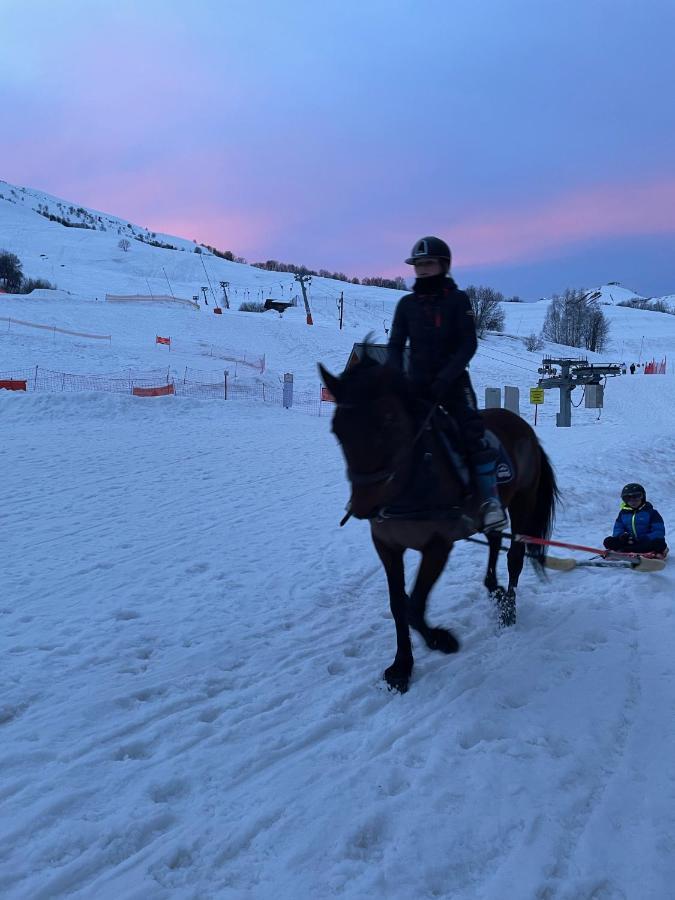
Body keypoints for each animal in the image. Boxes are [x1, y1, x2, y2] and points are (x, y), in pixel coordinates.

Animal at [320, 356, 564, 692]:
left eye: (388, 422)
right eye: (337, 429)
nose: (363, 506)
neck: (411, 483)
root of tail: (523, 426)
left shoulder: (437, 546)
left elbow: (414, 607)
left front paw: (442, 640)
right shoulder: (386, 546)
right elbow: (398, 605)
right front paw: (402, 667)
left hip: (523, 500)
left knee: (514, 556)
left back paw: (507, 610)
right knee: (494, 539)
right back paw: (493, 588)